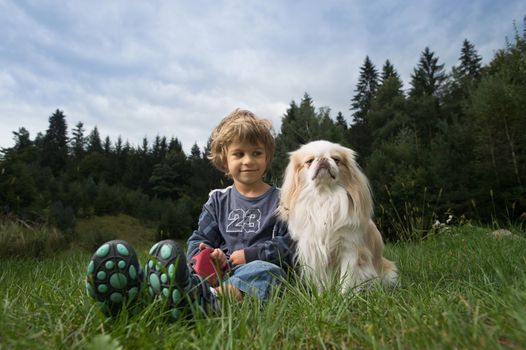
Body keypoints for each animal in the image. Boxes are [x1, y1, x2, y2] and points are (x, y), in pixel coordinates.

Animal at [278, 141, 398, 292]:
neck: (325, 195)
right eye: (309, 161)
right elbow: (322, 284)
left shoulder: (349, 250)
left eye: (336, 159)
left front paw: (343, 296)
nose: (323, 159)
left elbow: (346, 281)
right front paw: (323, 295)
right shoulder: (315, 252)